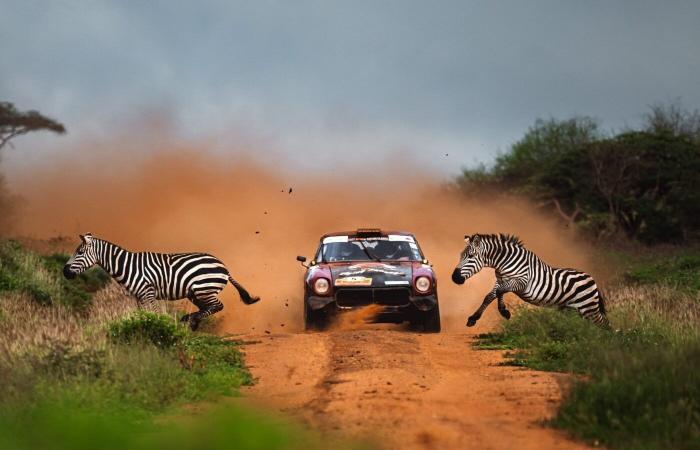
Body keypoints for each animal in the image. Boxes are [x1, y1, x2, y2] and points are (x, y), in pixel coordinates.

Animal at [62, 234, 260, 328]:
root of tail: (224, 267)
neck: (127, 266)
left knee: (217, 306)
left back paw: (191, 320)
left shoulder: (148, 293)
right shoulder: (139, 297)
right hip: (196, 294)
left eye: (80, 252)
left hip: (204, 288)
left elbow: (156, 315)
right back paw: (192, 321)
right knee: (208, 308)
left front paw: (160, 328)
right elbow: (143, 316)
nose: (64, 272)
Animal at [452, 234, 608, 328]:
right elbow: (490, 296)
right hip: (573, 309)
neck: (504, 263)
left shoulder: (522, 281)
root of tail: (592, 279)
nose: (454, 278)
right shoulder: (500, 280)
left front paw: (504, 312)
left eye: (471, 256)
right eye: (461, 255)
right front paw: (473, 318)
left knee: (603, 323)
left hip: (588, 307)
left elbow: (500, 292)